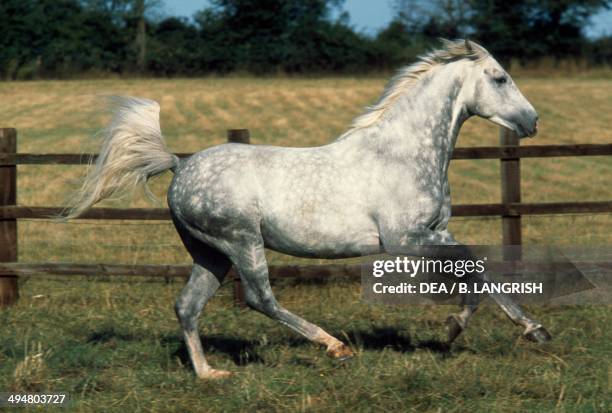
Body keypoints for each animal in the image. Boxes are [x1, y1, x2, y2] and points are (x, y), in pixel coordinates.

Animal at [65, 39, 548, 380]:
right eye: (500, 78)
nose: (533, 122)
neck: (401, 154)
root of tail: (180, 166)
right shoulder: (405, 239)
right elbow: (470, 266)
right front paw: (457, 325)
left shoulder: (437, 231)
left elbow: (477, 268)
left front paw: (526, 329)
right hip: (241, 241)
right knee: (260, 298)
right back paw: (335, 347)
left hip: (210, 253)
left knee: (187, 306)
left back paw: (210, 374)